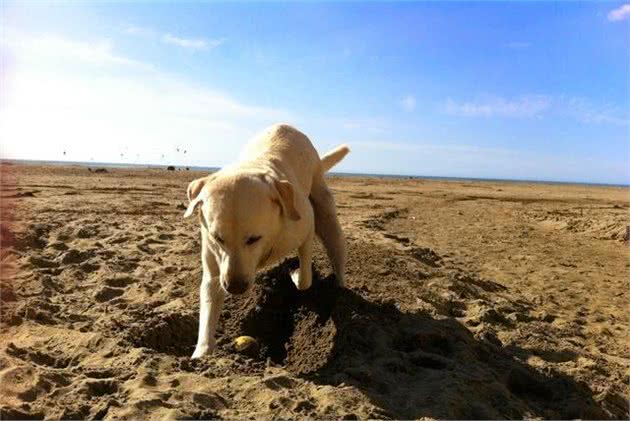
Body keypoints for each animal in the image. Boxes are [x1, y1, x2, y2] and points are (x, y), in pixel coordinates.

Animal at [184, 122, 350, 358]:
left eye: (254, 238)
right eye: (218, 238)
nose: (234, 287)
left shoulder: (305, 228)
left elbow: (305, 279)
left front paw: (294, 273)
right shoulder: (214, 266)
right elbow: (208, 305)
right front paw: (201, 355)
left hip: (325, 213)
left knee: (336, 250)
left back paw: (340, 295)